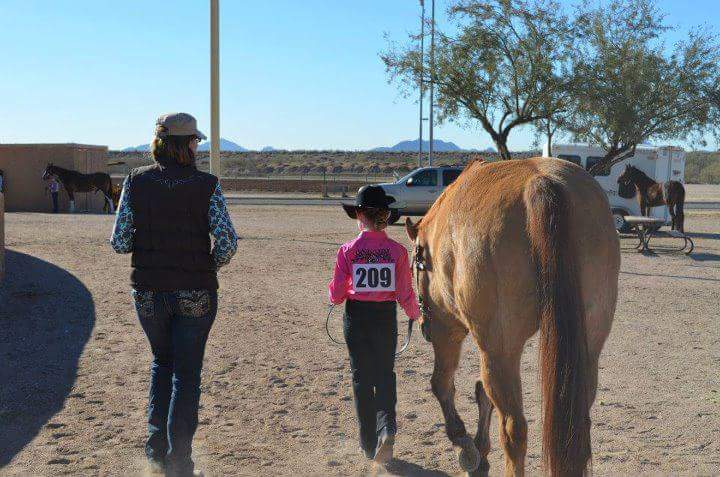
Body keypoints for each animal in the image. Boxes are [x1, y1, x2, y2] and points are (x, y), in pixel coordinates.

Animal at [404, 159, 620, 476]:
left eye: (414, 267)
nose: (423, 327)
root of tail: (542, 183)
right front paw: (478, 451)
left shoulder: (447, 328)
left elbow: (441, 384)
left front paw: (465, 446)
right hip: (587, 348)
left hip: (498, 350)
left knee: (513, 428)